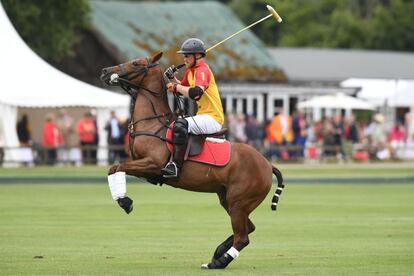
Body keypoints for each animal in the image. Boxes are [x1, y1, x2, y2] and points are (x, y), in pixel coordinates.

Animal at [100, 52, 284, 270]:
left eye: (137, 63)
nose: (105, 71)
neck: (153, 123)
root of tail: (267, 164)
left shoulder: (153, 163)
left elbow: (117, 166)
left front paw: (125, 201)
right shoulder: (143, 167)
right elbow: (114, 168)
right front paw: (123, 199)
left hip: (239, 201)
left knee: (243, 237)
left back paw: (218, 262)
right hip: (227, 198)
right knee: (249, 228)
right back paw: (218, 252)